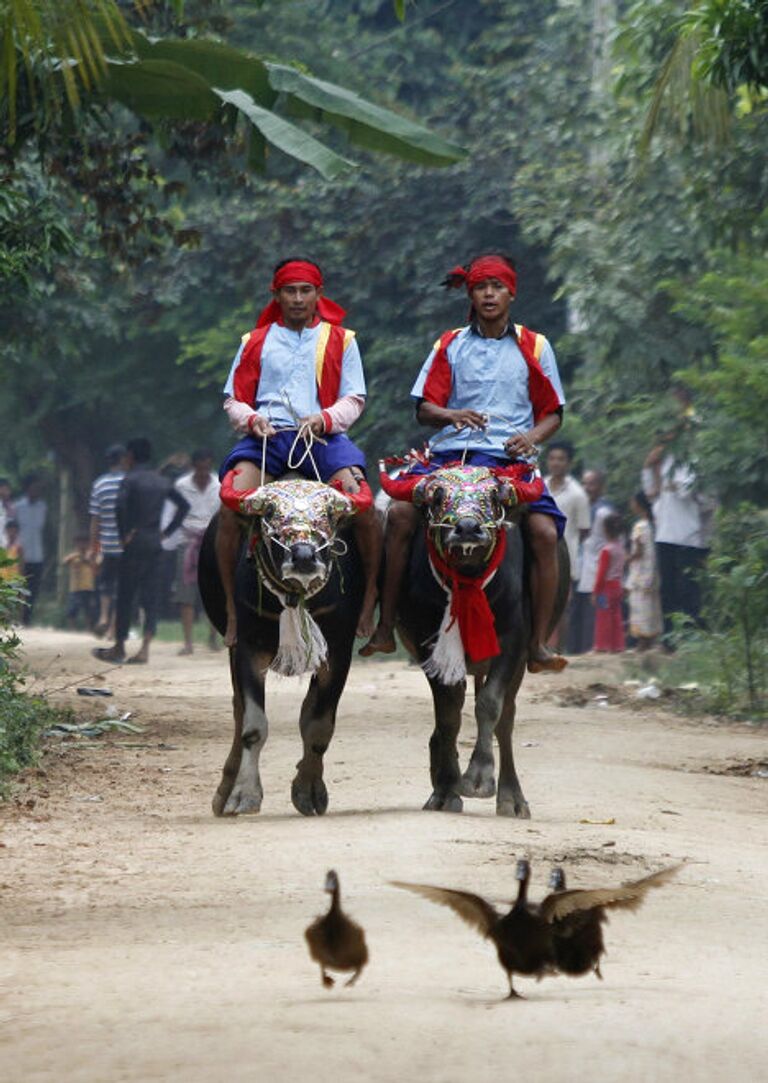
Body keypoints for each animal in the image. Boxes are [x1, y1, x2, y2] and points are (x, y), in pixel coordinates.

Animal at [199, 472, 370, 814]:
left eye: (328, 514)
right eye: (269, 513)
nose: (304, 557)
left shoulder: (339, 650)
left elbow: (318, 725)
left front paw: (309, 790)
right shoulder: (248, 648)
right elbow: (252, 726)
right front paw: (244, 794)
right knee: (238, 713)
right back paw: (224, 790)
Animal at [383, 461, 567, 814]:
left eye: (494, 496)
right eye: (438, 496)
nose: (468, 528)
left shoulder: (512, 641)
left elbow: (489, 705)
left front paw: (478, 777)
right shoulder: (429, 646)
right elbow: (449, 713)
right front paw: (447, 789)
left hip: (522, 661)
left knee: (506, 719)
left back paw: (512, 797)